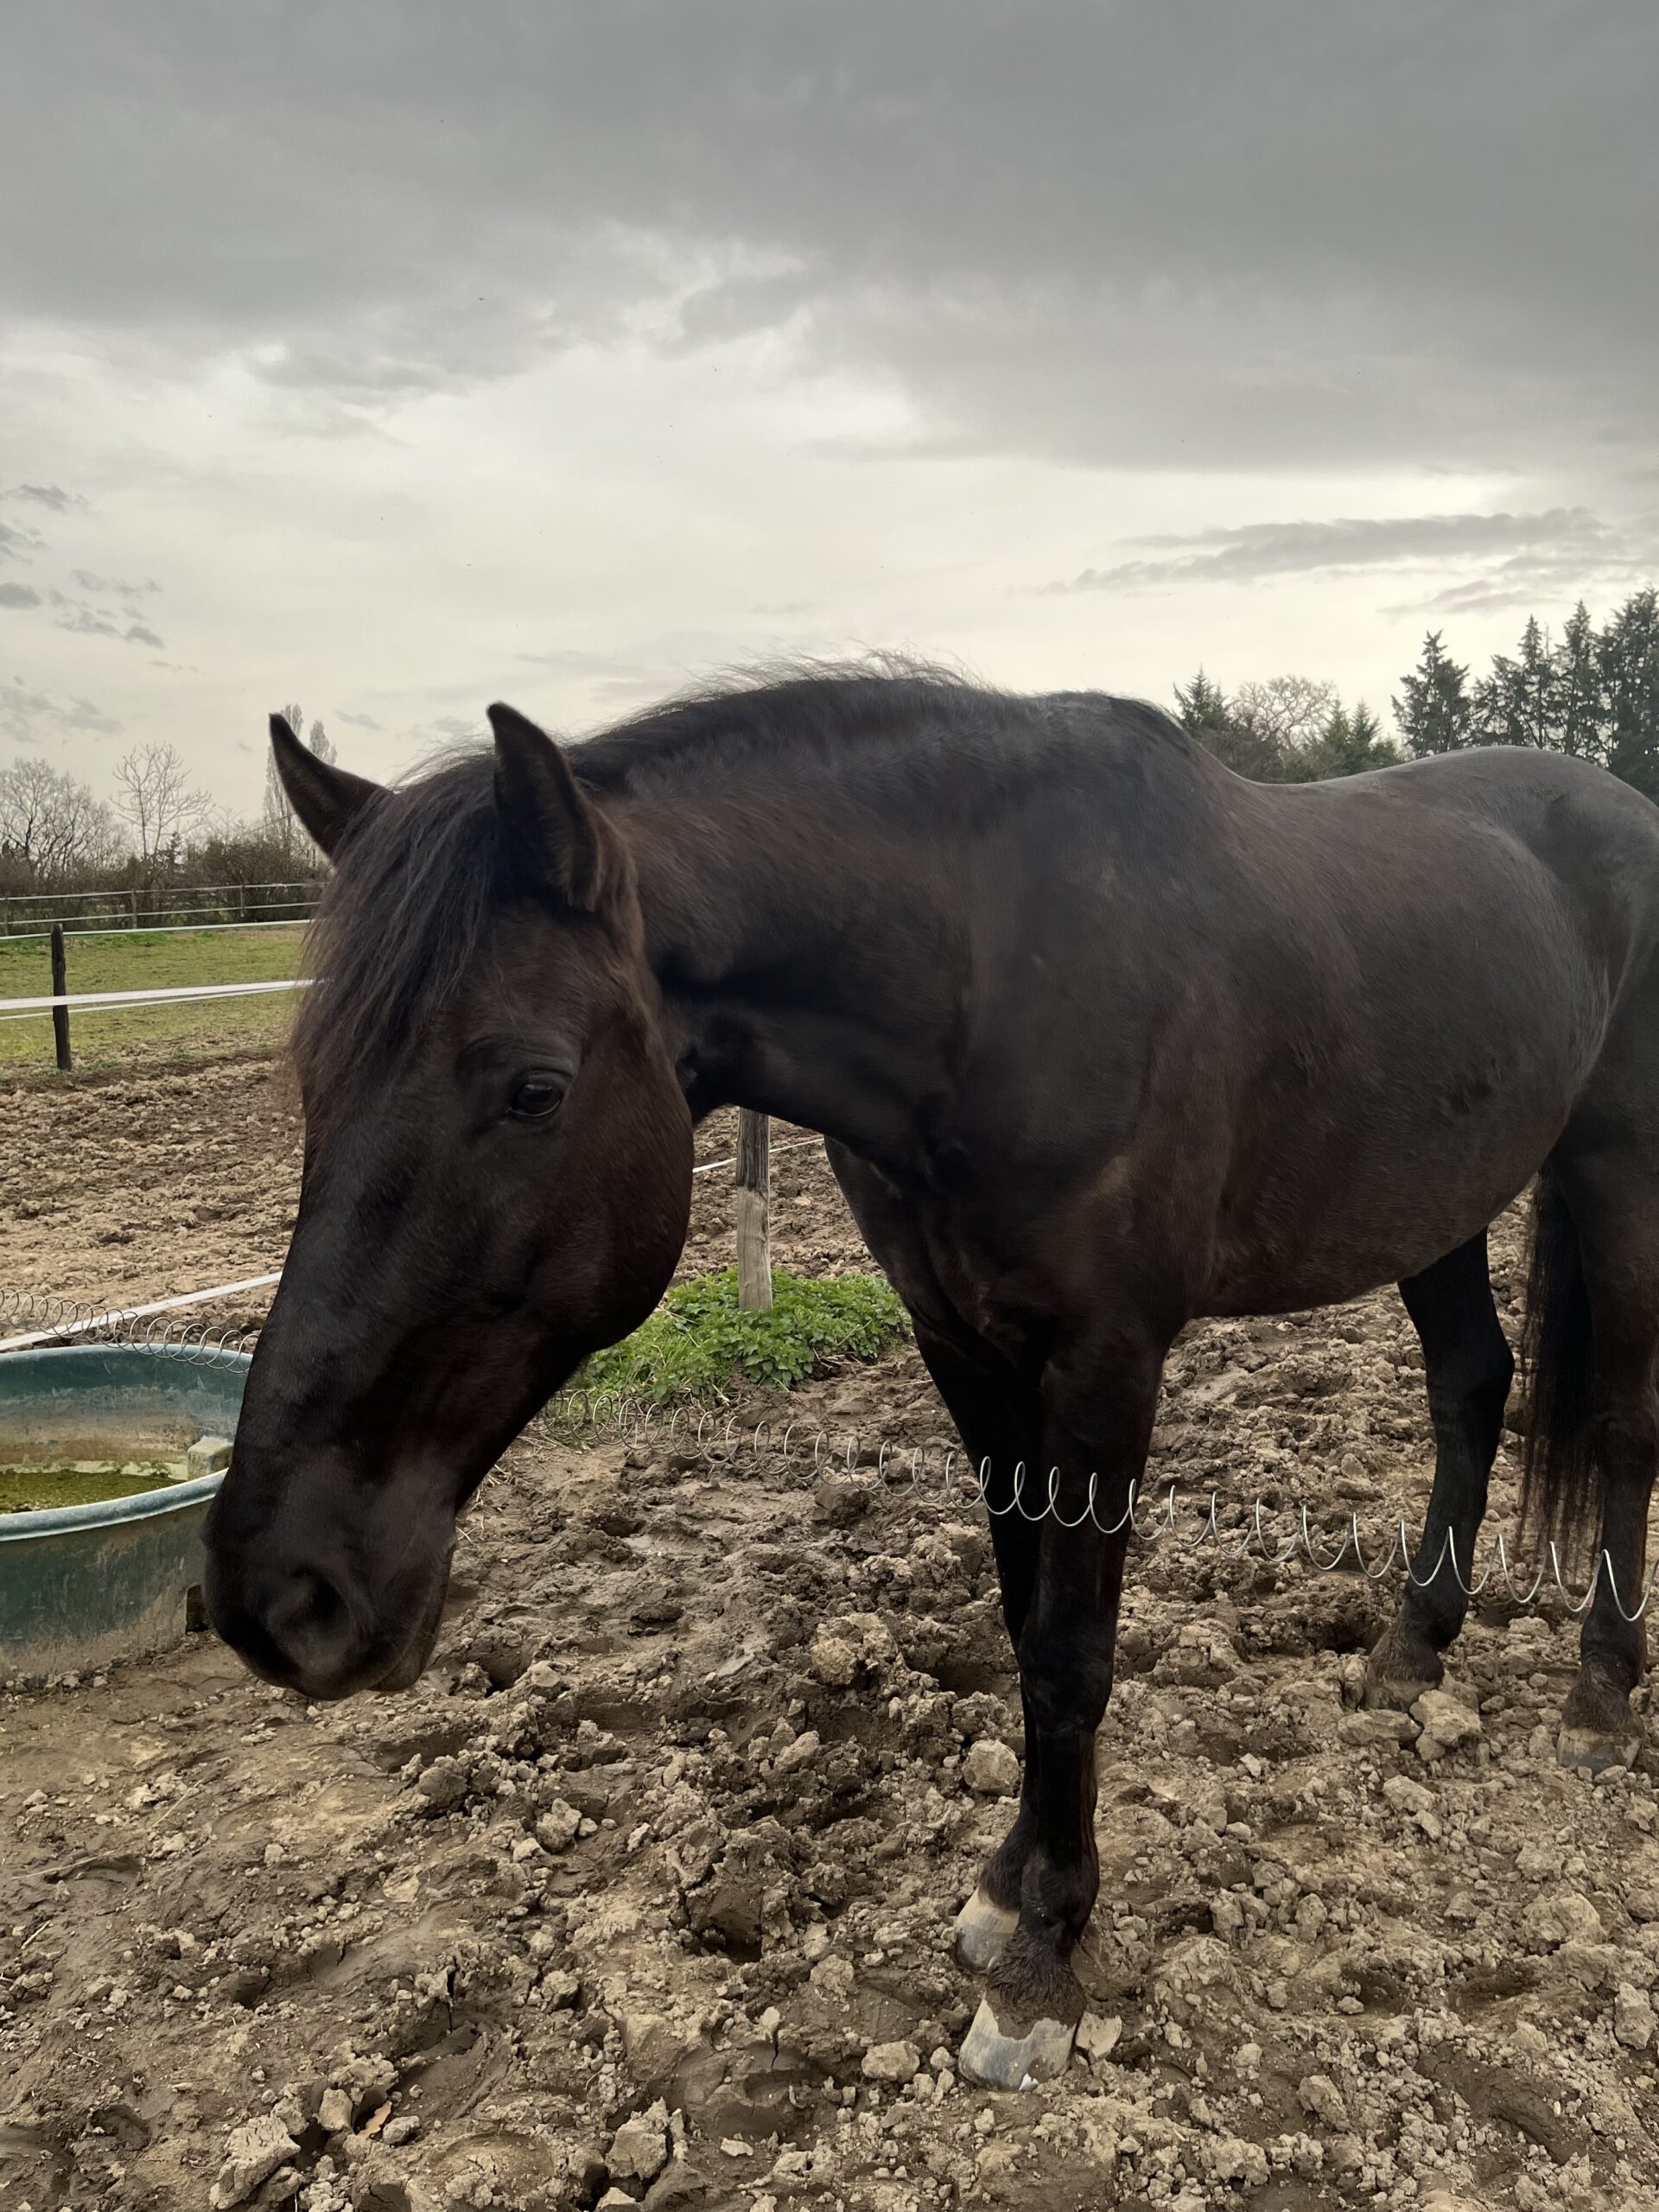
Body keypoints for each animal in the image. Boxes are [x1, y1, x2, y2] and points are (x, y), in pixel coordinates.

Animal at [203, 666, 1659, 2089]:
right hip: (1435, 1202)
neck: (993, 974)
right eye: (314, 1083)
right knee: (1471, 1385)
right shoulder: (962, 1346)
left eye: (533, 1089)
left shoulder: (1106, 1360)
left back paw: (1600, 1696)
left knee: (1625, 1426)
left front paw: (1045, 1964)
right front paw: (1009, 1888)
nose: (282, 1596)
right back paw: (1413, 1649)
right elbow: (1020, 1625)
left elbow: (1070, 1653)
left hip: (1613, 1176)